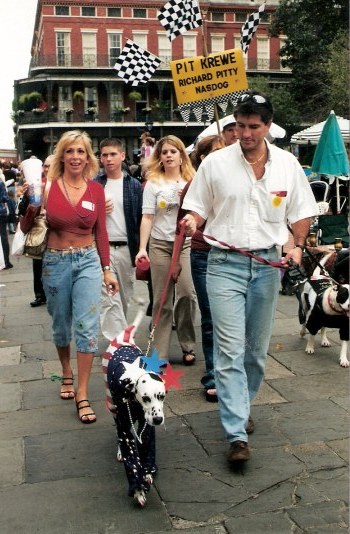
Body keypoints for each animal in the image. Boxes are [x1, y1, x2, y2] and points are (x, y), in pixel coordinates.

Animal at [101, 304, 167, 508]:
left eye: (162, 396)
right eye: (146, 398)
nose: (158, 419)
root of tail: (124, 337)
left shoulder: (147, 427)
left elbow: (146, 450)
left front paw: (147, 473)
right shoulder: (124, 425)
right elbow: (131, 458)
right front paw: (138, 490)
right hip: (112, 406)